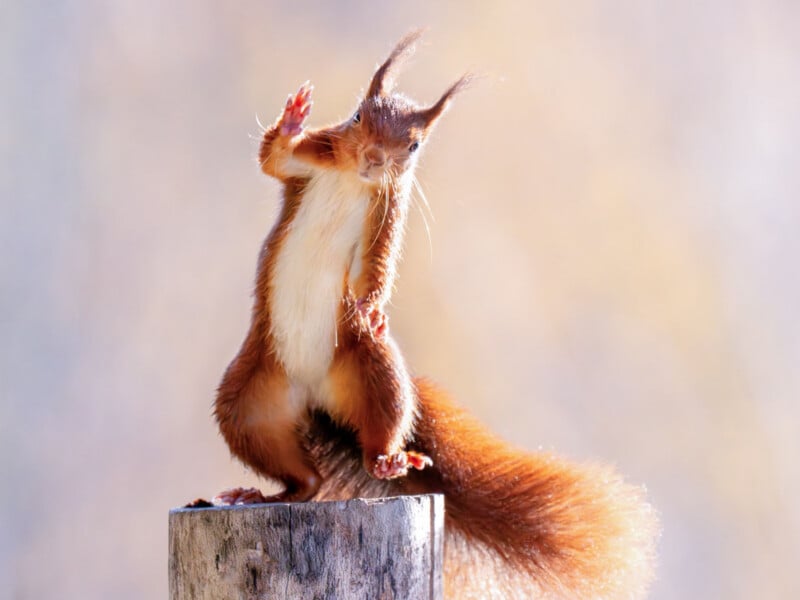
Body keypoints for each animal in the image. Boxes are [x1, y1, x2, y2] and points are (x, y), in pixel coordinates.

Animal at [209, 31, 658, 599]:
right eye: (357, 115)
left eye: (415, 145)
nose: (375, 157)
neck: (354, 179)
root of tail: (313, 398)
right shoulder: (310, 162)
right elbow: (275, 157)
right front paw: (292, 117)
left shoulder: (387, 212)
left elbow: (375, 269)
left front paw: (371, 307)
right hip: (250, 405)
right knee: (300, 477)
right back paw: (266, 495)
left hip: (373, 372)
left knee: (371, 434)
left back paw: (386, 459)